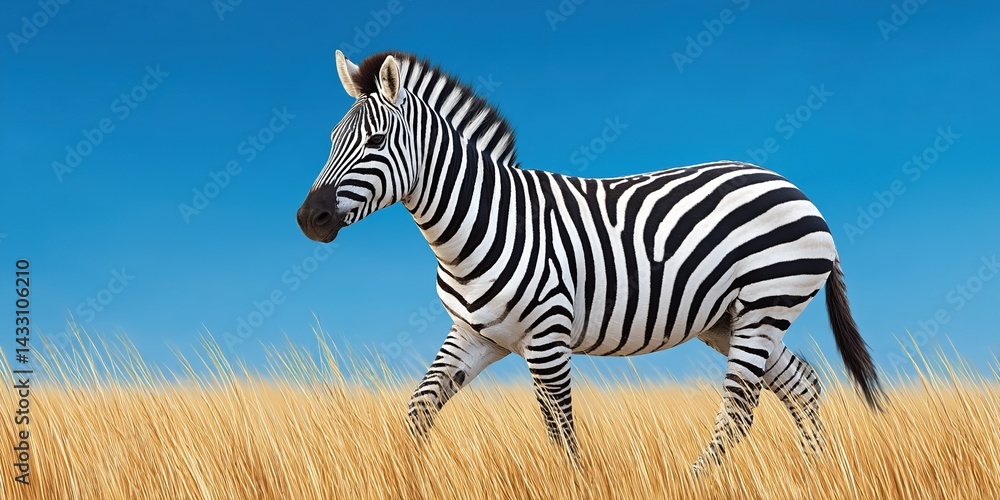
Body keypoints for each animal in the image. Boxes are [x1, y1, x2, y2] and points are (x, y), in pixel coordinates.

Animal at [295, 50, 886, 474]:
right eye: (332, 139)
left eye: (375, 140)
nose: (308, 218)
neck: (480, 222)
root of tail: (795, 188)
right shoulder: (472, 334)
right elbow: (419, 409)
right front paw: (400, 475)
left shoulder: (547, 336)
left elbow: (560, 429)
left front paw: (575, 482)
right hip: (732, 318)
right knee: (802, 384)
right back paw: (816, 473)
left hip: (766, 302)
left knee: (741, 407)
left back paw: (698, 479)